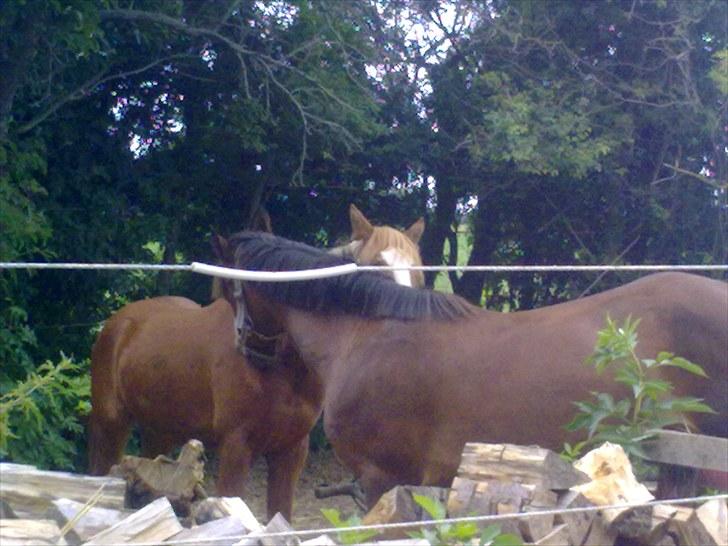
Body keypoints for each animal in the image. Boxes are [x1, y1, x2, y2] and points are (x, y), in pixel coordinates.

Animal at [87, 206, 424, 516]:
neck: (280, 369)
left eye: (419, 273)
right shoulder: (236, 447)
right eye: (375, 268)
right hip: (110, 426)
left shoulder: (291, 451)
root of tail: (119, 323)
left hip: (160, 432)